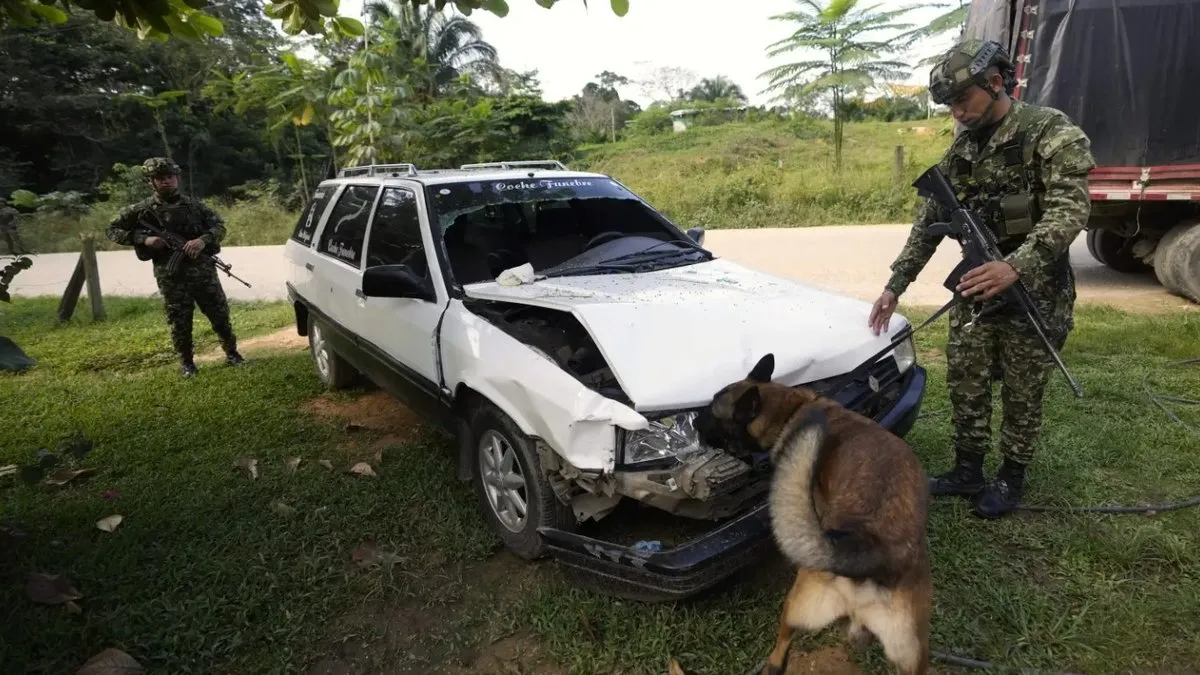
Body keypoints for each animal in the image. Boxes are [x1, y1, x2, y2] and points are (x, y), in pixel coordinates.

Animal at [691, 353, 931, 672]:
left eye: (712, 412)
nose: (693, 421)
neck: (790, 409)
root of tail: (871, 553)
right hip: (913, 655)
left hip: (796, 604)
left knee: (781, 647)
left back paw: (772, 663)